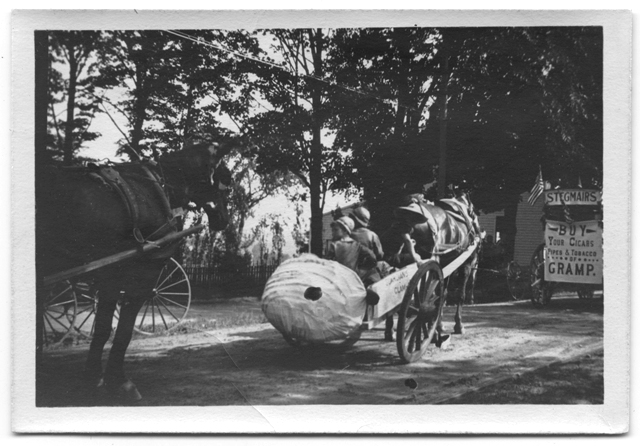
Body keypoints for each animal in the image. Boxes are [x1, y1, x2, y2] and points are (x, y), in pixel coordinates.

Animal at [36, 141, 234, 398]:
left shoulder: (110, 276)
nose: (224, 219)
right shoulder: (137, 274)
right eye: (226, 177)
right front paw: (119, 381)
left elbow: (103, 328)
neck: (156, 188)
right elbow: (122, 330)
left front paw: (93, 377)